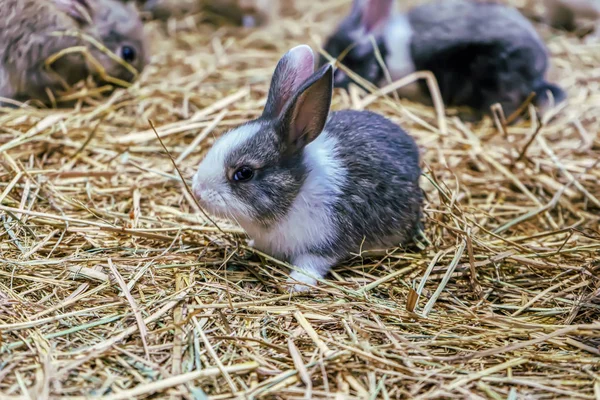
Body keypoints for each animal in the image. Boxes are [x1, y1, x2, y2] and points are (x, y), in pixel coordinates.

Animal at [192, 45, 422, 292]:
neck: (296, 191)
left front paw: (296, 284)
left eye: (244, 173)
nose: (197, 192)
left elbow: (310, 264)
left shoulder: (324, 244)